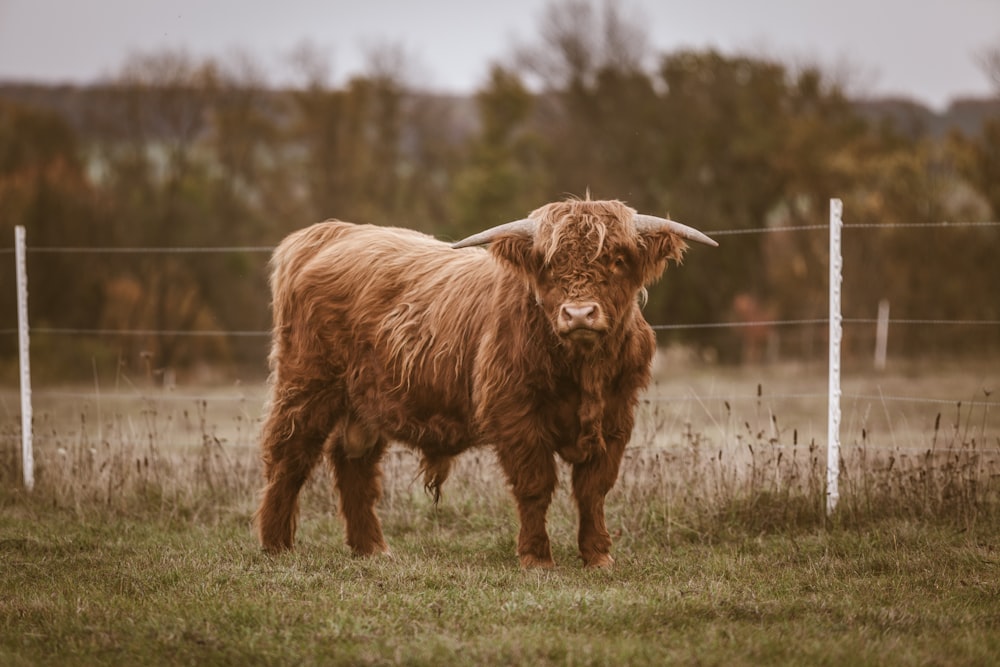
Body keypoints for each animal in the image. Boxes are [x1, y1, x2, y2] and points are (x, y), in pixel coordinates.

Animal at [254, 196, 716, 568]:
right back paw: (276, 544)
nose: (579, 314)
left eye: (617, 261)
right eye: (550, 265)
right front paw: (537, 558)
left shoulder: (617, 418)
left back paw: (372, 549)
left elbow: (593, 489)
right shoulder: (515, 415)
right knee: (289, 456)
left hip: (365, 402)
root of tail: (333, 233)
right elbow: (535, 485)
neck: (582, 371)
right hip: (306, 383)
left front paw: (598, 556)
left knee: (354, 462)